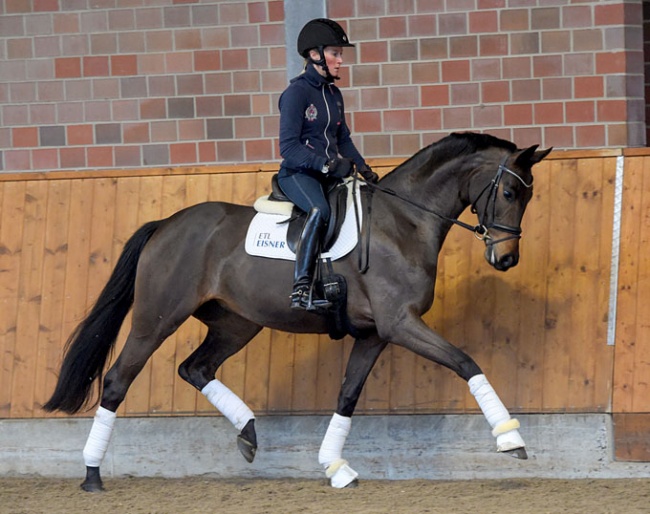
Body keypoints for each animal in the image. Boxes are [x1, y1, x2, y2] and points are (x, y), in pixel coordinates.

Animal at [44, 131, 552, 488]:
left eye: (529, 197)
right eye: (510, 194)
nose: (506, 259)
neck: (403, 222)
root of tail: (167, 223)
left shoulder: (375, 334)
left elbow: (347, 396)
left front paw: (335, 467)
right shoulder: (401, 324)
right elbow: (466, 362)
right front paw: (511, 439)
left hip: (235, 324)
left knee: (195, 368)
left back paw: (248, 434)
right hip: (157, 319)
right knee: (117, 380)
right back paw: (92, 475)